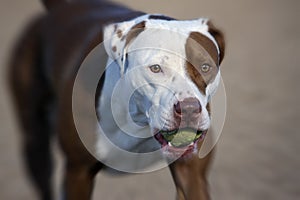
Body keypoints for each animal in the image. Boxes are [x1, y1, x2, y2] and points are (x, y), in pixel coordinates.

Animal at [8, 0, 225, 200]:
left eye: (206, 67)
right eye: (155, 68)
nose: (189, 109)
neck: (138, 119)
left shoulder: (191, 171)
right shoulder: (78, 172)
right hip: (36, 143)